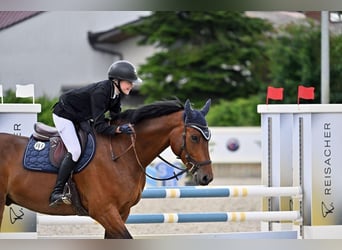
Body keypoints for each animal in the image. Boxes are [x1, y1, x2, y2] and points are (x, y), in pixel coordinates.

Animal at [0, 98, 212, 238]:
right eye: (195, 137)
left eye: (208, 137)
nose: (206, 177)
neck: (122, 154)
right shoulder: (104, 211)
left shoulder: (121, 212)